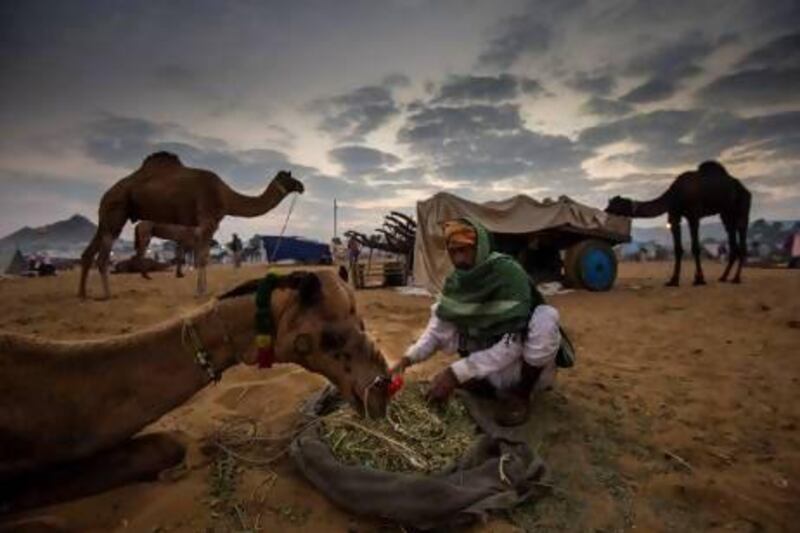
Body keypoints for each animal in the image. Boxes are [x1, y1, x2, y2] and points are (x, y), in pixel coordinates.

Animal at [79, 151, 304, 300]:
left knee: (89, 252)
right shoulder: (207, 221)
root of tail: (106, 194)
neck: (225, 196)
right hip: (116, 210)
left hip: (107, 217)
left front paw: (203, 289)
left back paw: (82, 294)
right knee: (104, 255)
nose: (302, 186)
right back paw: (107, 294)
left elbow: (201, 257)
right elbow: (202, 259)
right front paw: (201, 292)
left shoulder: (208, 226)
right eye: (289, 178)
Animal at [608, 161, 752, 286]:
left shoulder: (693, 215)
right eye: (610, 203)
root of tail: (745, 189)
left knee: (742, 233)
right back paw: (723, 277)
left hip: (743, 206)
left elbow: (695, 247)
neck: (675, 194)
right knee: (732, 238)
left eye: (615, 204)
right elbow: (678, 248)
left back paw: (736, 278)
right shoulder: (674, 215)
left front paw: (699, 279)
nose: (605, 210)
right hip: (726, 213)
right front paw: (673, 280)